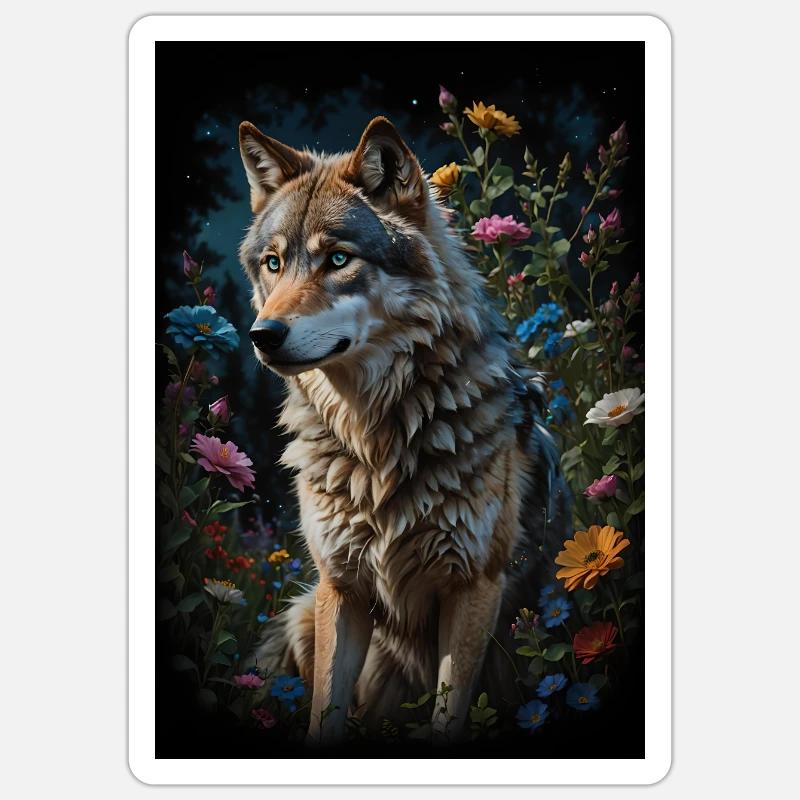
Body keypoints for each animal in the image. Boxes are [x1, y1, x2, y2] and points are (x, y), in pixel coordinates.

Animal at [237, 116, 569, 745]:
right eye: (273, 263)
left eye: (338, 258)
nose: (261, 336)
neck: (377, 441)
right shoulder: (341, 587)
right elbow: (324, 711)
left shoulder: (474, 586)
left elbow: (446, 716)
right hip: (303, 612)